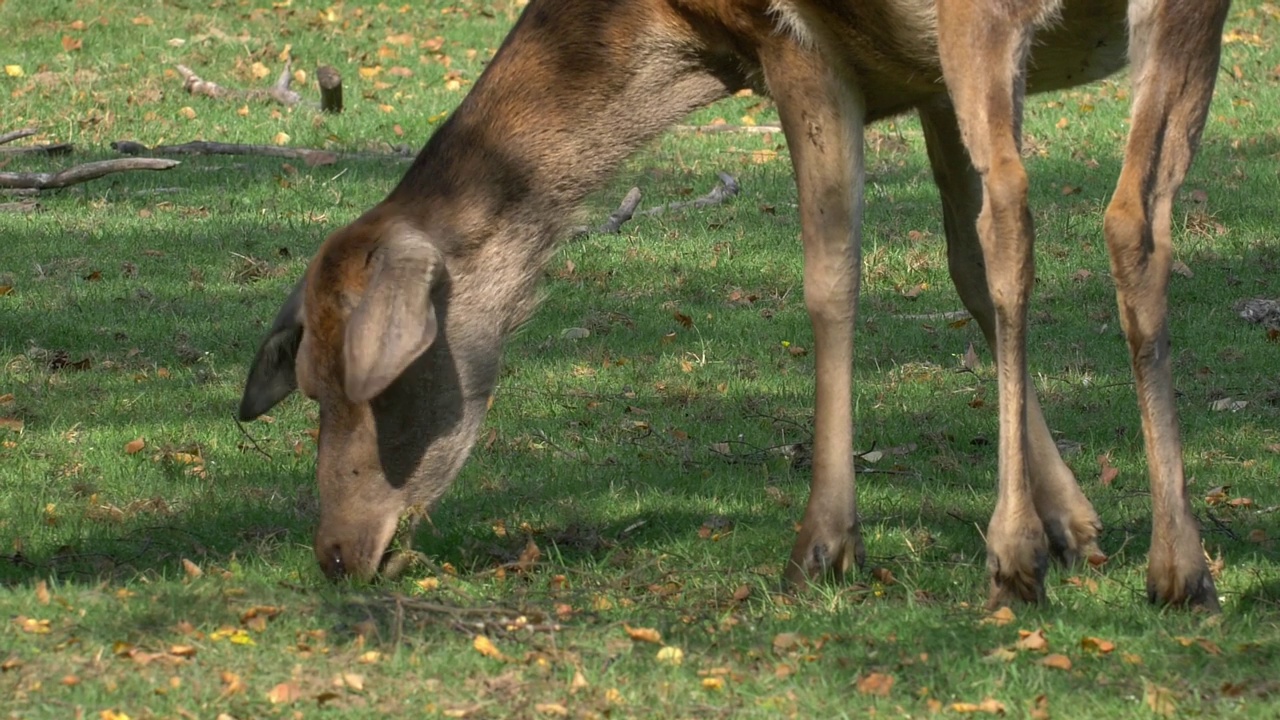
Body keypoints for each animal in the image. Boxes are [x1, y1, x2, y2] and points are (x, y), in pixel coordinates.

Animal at [238, 0, 1228, 609]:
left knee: (1023, 212)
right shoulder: (922, 81)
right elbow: (965, 274)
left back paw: (1013, 556)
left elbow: (833, 272)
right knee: (1132, 216)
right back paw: (1180, 565)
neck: (677, 36)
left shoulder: (794, 41)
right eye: (306, 380)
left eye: (369, 382)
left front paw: (824, 545)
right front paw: (1077, 526)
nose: (335, 552)